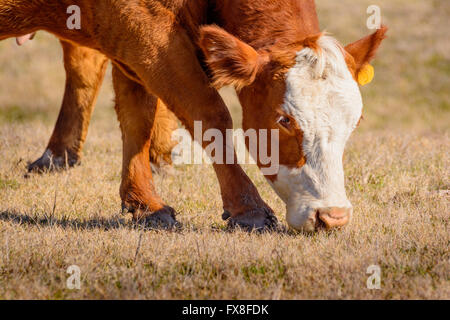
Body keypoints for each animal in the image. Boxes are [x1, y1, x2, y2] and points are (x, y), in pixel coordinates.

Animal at [0, 0, 386, 231]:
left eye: (355, 123)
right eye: (284, 120)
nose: (333, 216)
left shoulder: (130, 40)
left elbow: (137, 113)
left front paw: (143, 200)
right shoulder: (145, 31)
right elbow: (208, 111)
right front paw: (248, 208)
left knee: (82, 63)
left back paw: (58, 155)